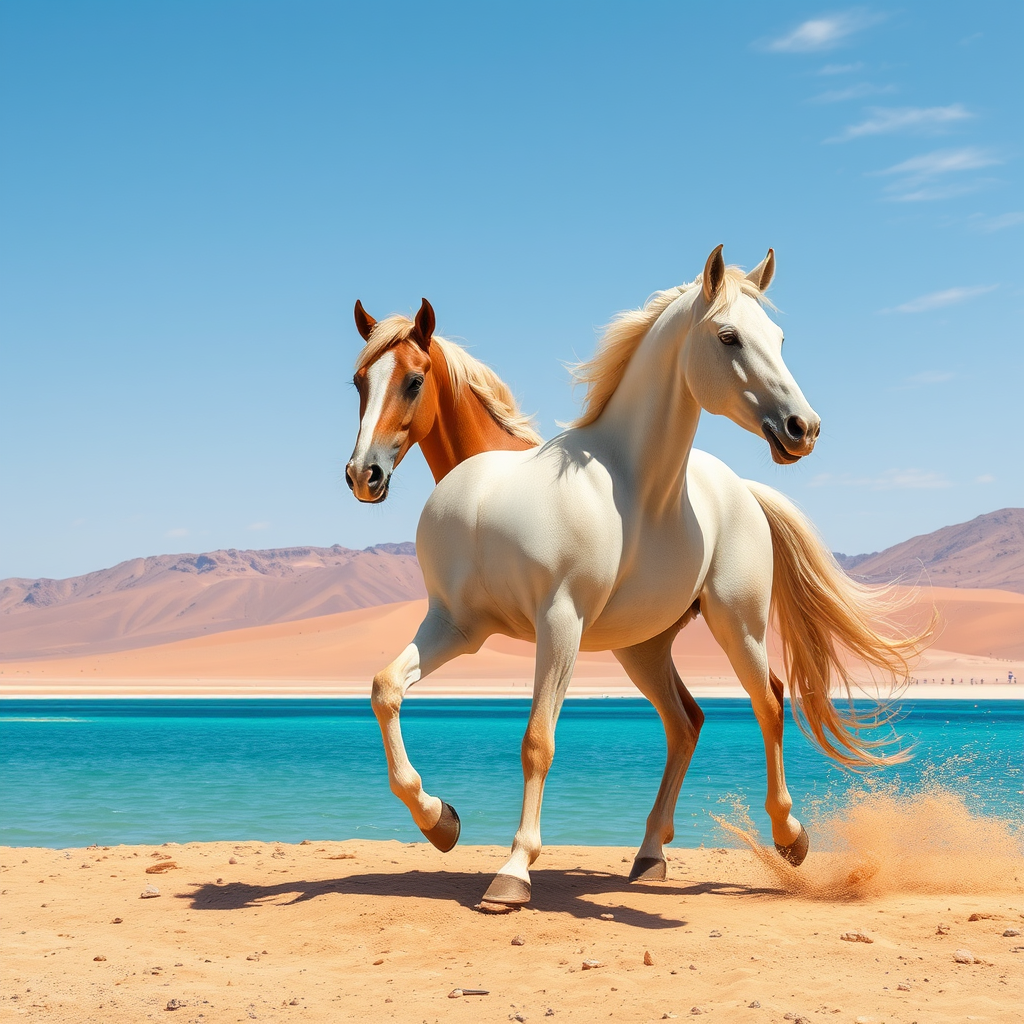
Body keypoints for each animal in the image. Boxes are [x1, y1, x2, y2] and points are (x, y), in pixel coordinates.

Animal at [346, 246, 925, 904]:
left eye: (414, 380)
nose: (363, 474)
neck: (488, 491)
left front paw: (513, 871)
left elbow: (537, 740)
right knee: (687, 721)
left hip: (739, 625)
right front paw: (439, 820)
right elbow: (385, 689)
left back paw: (789, 837)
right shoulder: (457, 626)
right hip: (642, 648)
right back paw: (650, 854)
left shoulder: (560, 623)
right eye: (360, 382)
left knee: (770, 702)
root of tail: (742, 490)